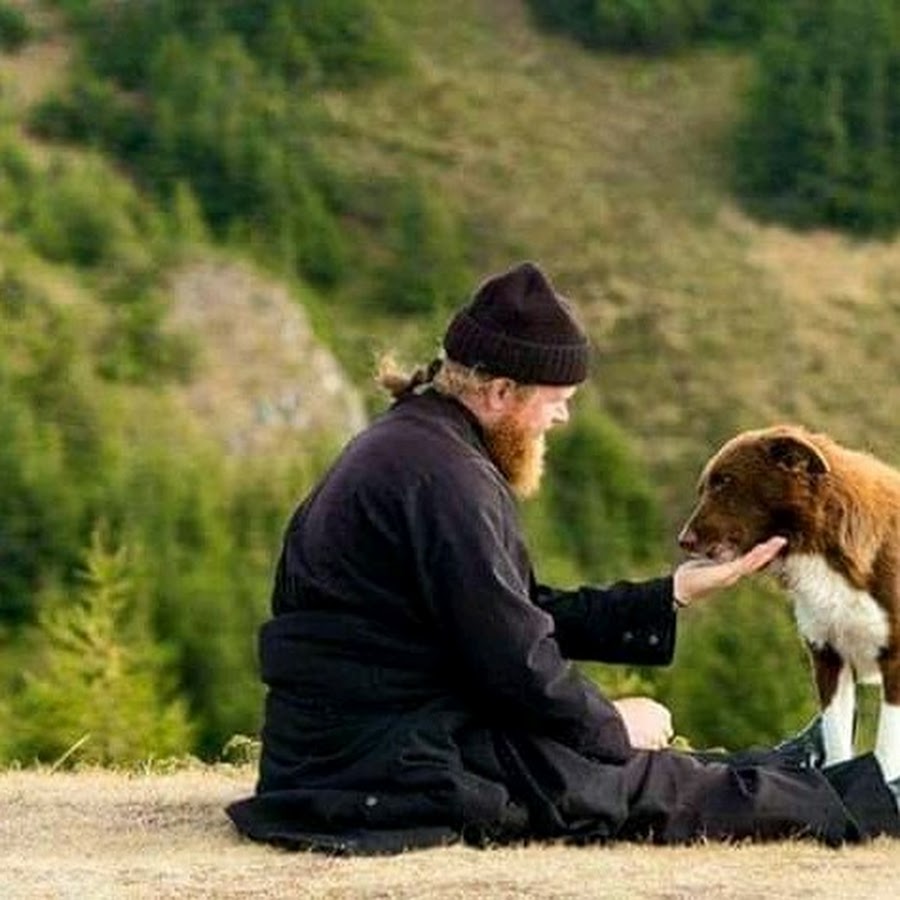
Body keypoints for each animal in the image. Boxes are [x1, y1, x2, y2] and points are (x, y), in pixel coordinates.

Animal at [680, 424, 900, 780]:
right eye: (705, 487)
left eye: (725, 481)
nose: (682, 541)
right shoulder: (829, 659)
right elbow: (838, 749)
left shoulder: (894, 663)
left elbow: (887, 757)